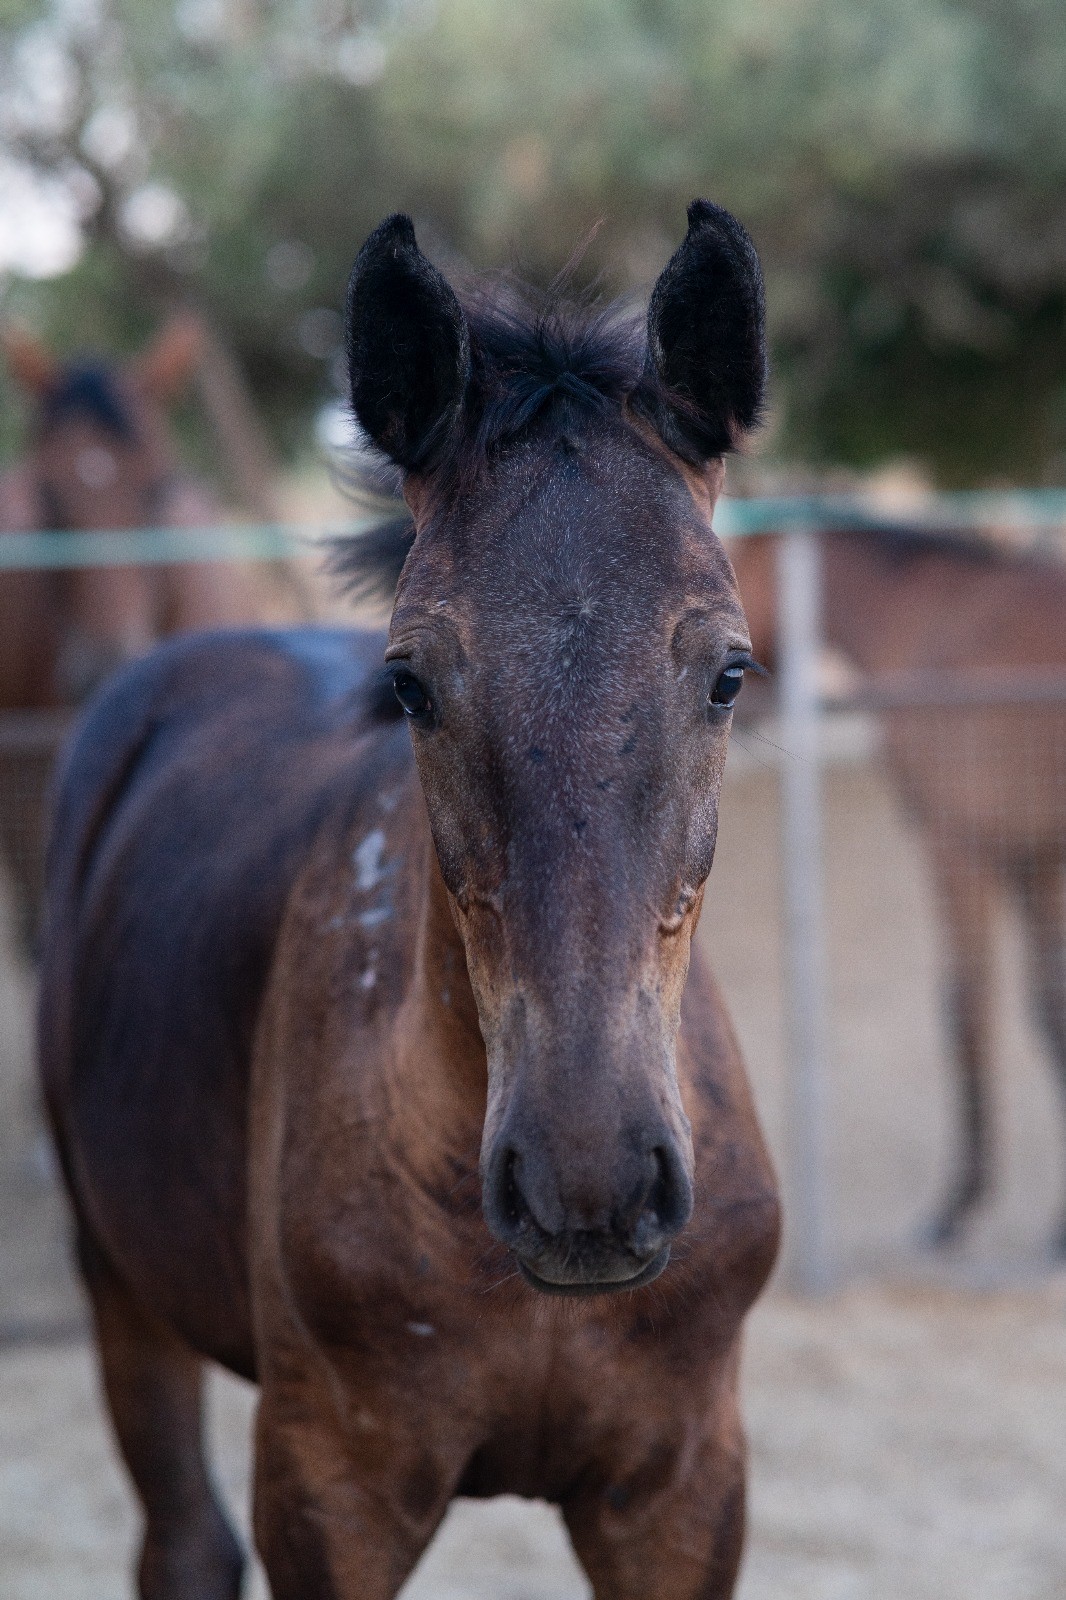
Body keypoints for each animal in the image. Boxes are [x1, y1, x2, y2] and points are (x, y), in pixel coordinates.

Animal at [39, 202, 780, 1600]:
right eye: (411, 682)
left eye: (728, 672)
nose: (587, 1182)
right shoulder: (330, 1483)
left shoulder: (682, 1484)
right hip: (123, 1286)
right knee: (182, 1541)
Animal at [730, 526, 1066, 1250]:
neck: (933, 623)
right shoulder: (1036, 861)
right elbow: (1048, 1011)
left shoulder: (961, 850)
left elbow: (965, 1008)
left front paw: (957, 1205)